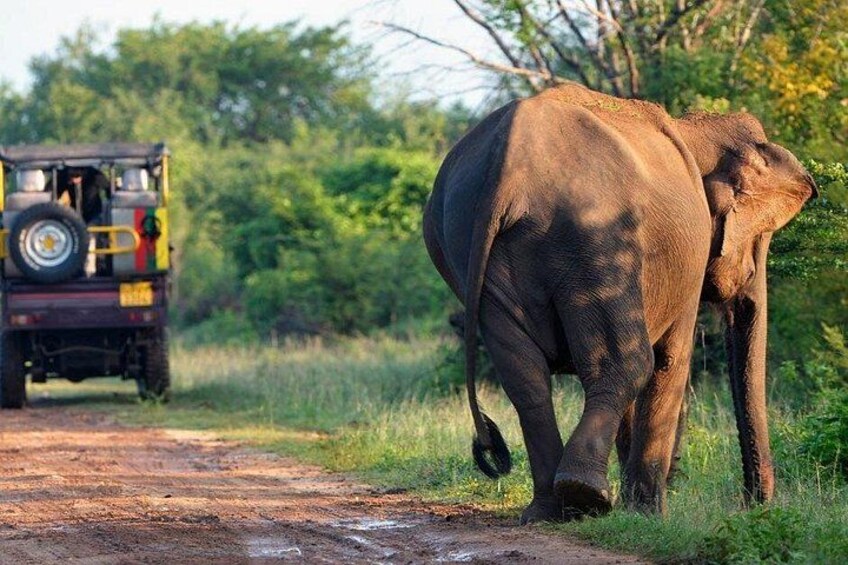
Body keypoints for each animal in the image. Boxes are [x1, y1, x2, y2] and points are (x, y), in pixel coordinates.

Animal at [423, 83, 816, 524]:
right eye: (761, 235)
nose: (751, 504)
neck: (694, 128)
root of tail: (505, 168)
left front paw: (633, 513)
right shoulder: (689, 257)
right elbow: (670, 361)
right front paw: (649, 516)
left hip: (467, 244)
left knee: (526, 378)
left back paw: (550, 511)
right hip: (593, 235)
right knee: (629, 362)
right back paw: (584, 496)